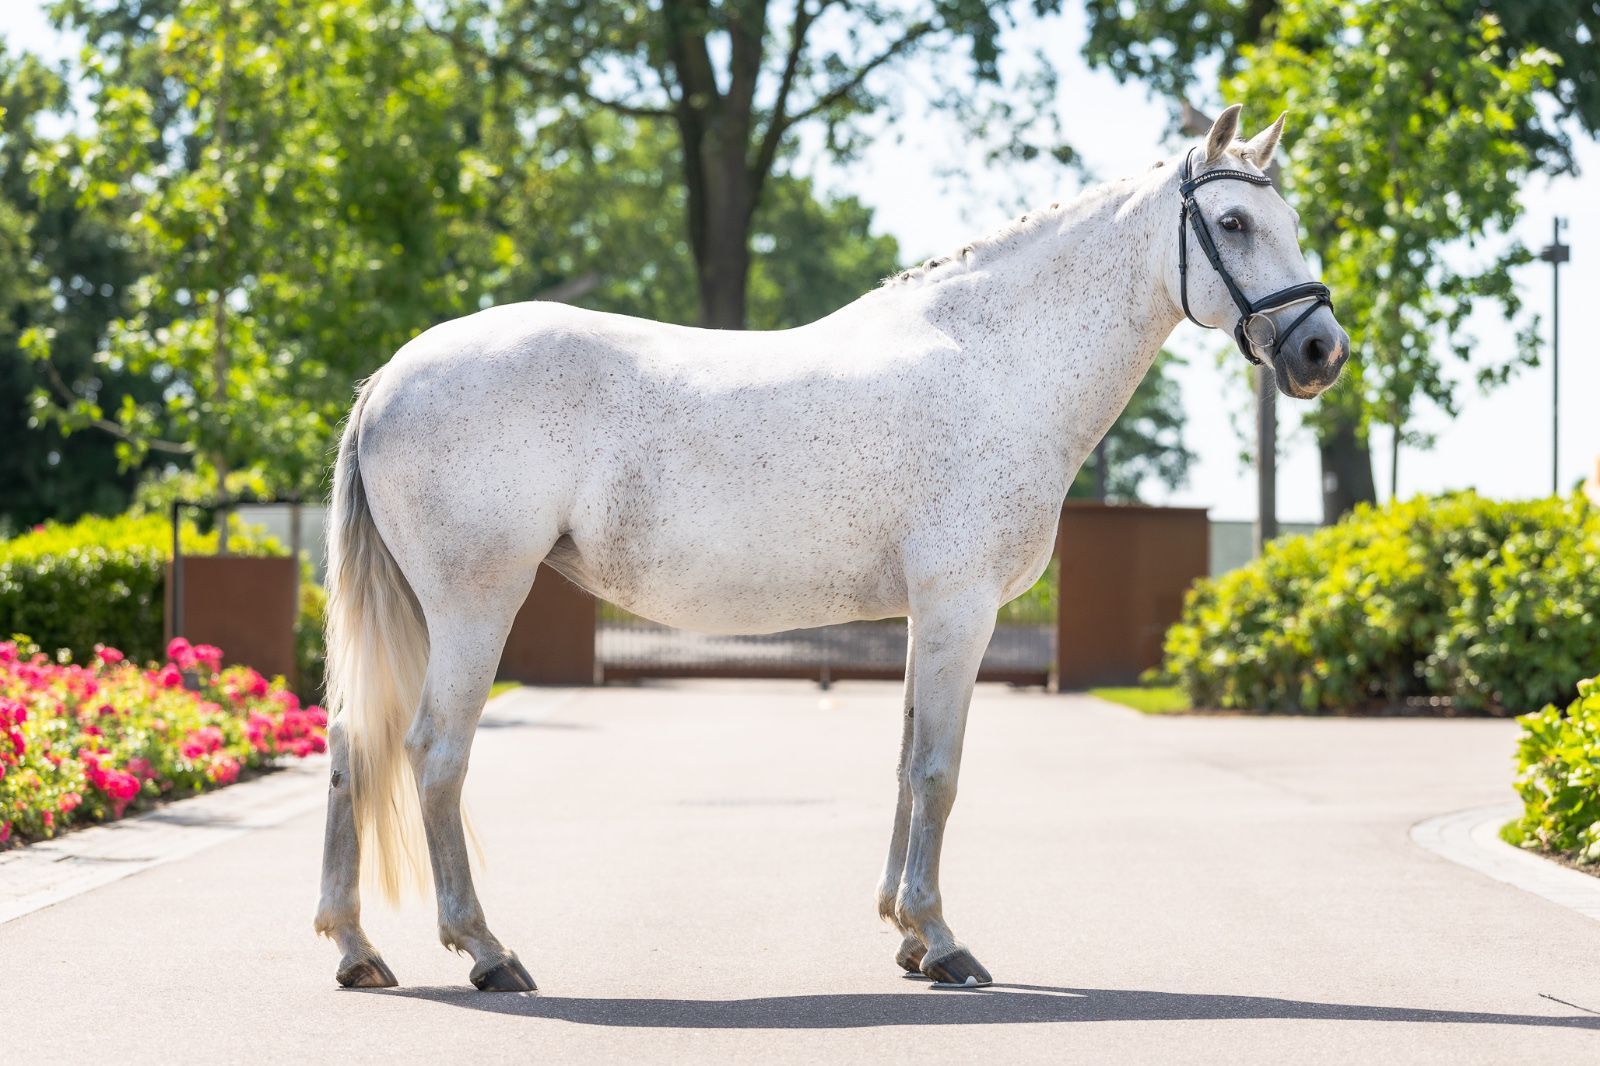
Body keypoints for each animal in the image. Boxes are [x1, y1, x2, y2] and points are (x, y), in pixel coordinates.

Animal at [314, 105, 1350, 992]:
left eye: (1290, 220)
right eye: (1232, 221)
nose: (1321, 352)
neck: (997, 362)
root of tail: (393, 375)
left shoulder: (926, 616)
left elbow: (904, 762)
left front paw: (905, 933)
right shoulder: (960, 609)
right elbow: (938, 770)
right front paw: (943, 942)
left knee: (352, 742)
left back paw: (358, 950)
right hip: (473, 605)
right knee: (434, 753)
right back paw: (487, 952)